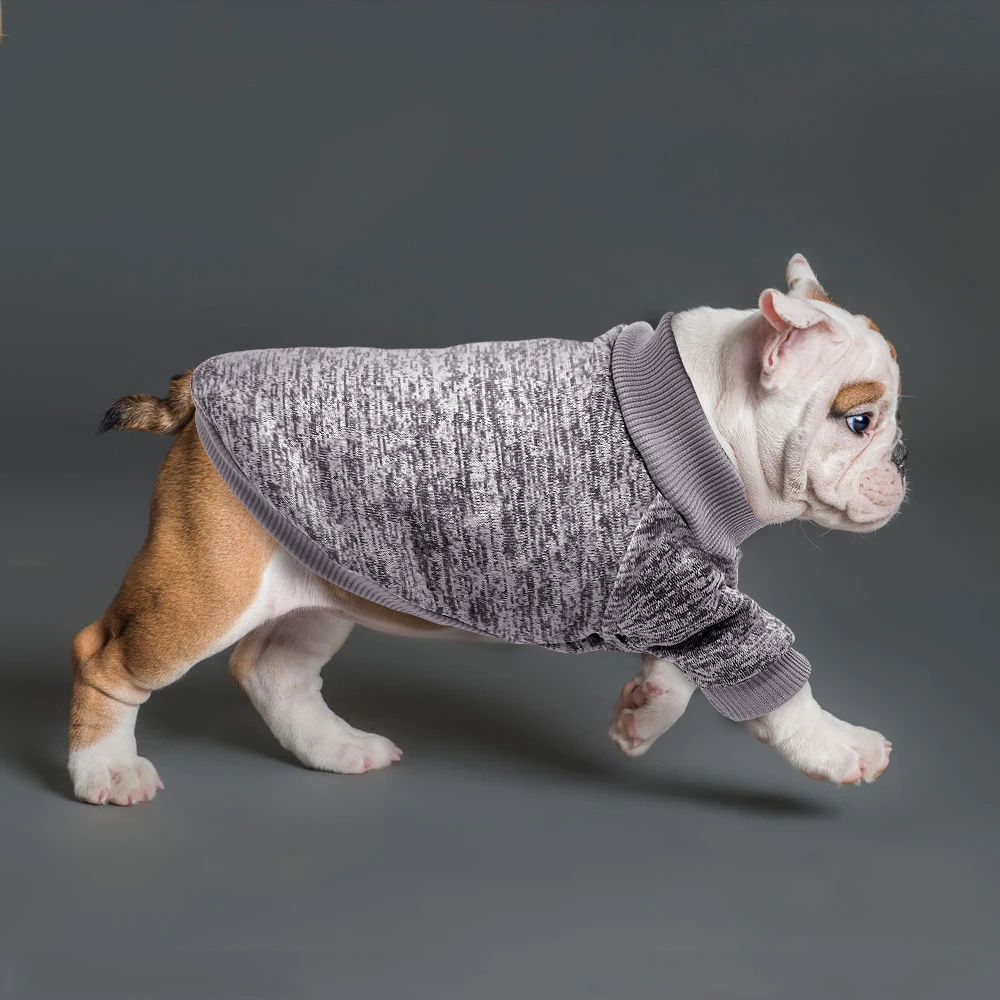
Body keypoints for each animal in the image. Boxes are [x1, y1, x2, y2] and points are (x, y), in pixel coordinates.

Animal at [69, 254, 905, 805]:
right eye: (860, 420)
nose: (901, 458)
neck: (709, 406)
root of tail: (194, 388)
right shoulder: (675, 589)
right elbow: (771, 676)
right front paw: (839, 745)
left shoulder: (674, 600)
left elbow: (682, 672)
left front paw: (640, 717)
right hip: (207, 586)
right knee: (104, 656)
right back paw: (104, 771)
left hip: (324, 579)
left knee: (273, 671)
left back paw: (337, 749)